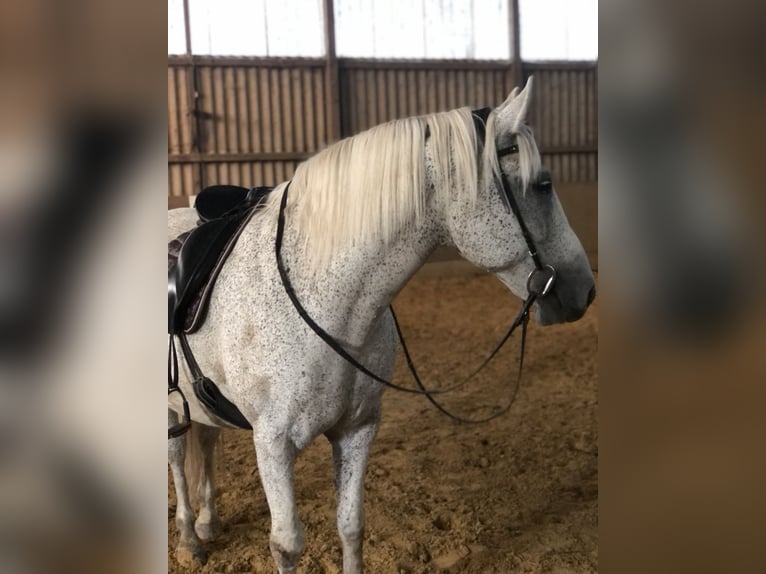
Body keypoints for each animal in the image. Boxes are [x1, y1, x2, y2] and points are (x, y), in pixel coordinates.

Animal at [170, 77, 600, 574]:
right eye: (544, 185)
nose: (585, 289)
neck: (328, 299)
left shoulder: (358, 429)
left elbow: (351, 527)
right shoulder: (273, 444)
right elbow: (287, 544)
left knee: (205, 439)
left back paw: (206, 522)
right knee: (177, 456)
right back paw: (188, 538)